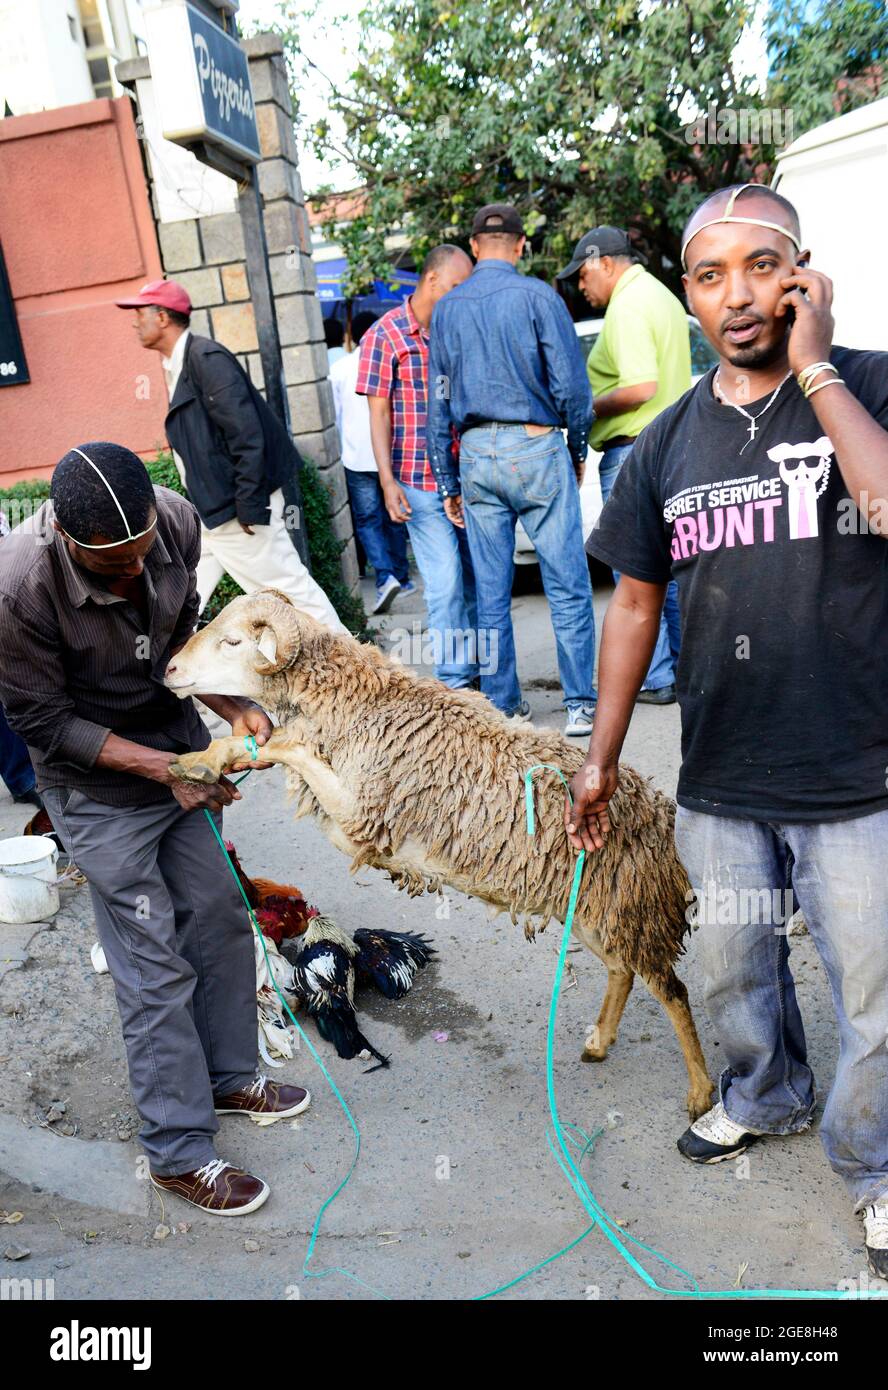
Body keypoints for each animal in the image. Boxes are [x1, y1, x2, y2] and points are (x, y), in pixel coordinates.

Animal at [164, 591, 714, 1118]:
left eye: (233, 641)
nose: (168, 669)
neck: (358, 704)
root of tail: (662, 815)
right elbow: (255, 743)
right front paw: (197, 763)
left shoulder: (359, 820)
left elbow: (286, 746)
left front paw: (226, 754)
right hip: (595, 910)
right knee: (623, 972)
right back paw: (599, 1043)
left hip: (631, 908)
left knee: (672, 991)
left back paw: (701, 1094)